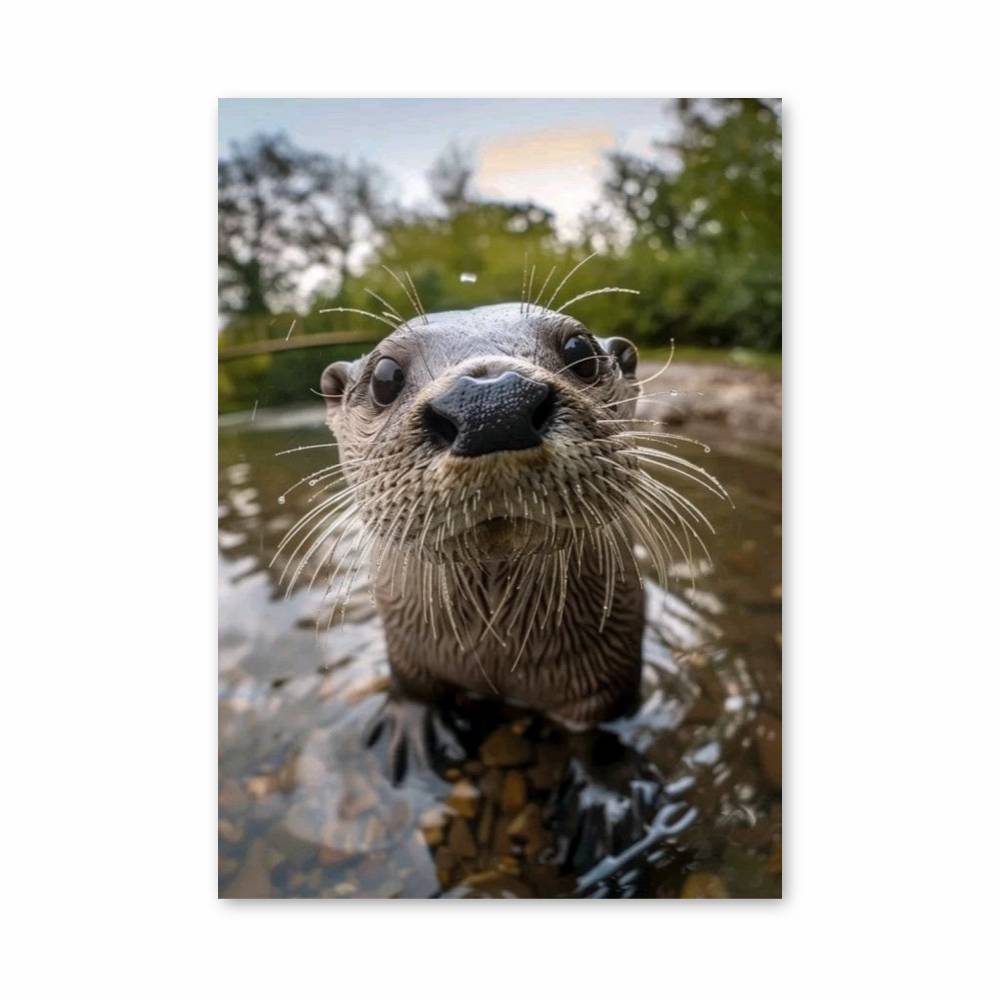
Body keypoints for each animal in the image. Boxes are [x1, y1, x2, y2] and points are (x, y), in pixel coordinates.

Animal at [307, 302, 715, 726]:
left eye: (579, 351)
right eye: (385, 377)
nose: (492, 404)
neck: (496, 654)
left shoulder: (606, 684)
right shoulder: (407, 661)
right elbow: (414, 696)